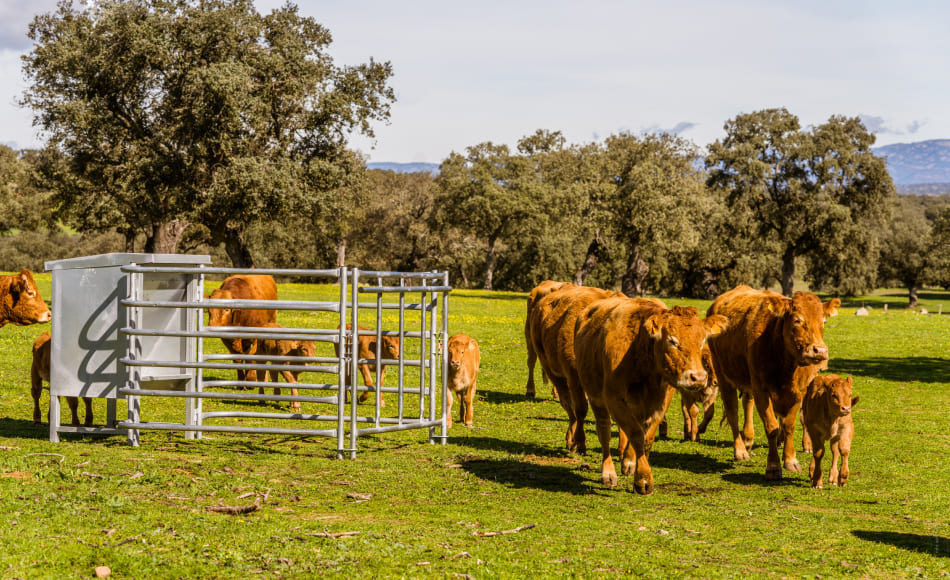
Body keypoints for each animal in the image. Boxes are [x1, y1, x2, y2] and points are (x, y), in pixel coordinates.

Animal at [528, 286, 624, 454]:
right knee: (568, 406)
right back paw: (570, 440)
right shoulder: (574, 378)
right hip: (552, 370)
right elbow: (580, 410)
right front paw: (579, 443)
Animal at [572, 300, 728, 494]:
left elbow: (646, 438)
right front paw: (643, 479)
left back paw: (629, 461)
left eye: (702, 342)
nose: (698, 377)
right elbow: (636, 435)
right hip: (597, 399)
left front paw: (635, 467)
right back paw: (608, 473)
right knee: (604, 432)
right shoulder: (614, 399)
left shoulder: (661, 402)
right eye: (672, 341)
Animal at [708, 286, 840, 480]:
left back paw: (748, 439)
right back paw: (740, 450)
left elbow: (789, 425)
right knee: (733, 413)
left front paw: (791, 460)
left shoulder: (798, 392)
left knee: (747, 402)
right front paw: (773, 466)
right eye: (797, 320)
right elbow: (772, 427)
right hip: (723, 376)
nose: (819, 350)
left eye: (823, 321)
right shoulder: (762, 390)